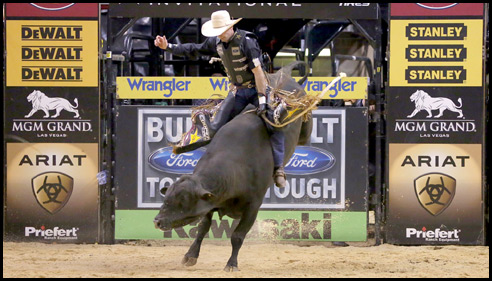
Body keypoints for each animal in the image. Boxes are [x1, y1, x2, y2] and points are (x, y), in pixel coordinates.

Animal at [154, 61, 314, 272]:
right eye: (167, 198)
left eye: (182, 201)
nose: (158, 221)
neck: (237, 166)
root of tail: (283, 75)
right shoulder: (211, 201)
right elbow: (202, 229)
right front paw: (190, 256)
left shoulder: (253, 206)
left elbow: (237, 236)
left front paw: (231, 264)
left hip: (305, 128)